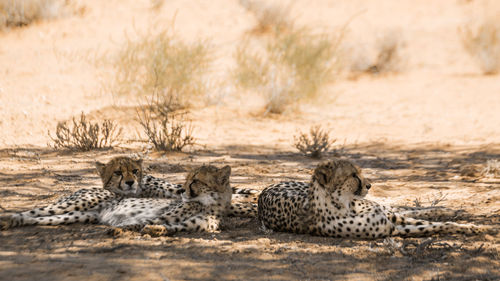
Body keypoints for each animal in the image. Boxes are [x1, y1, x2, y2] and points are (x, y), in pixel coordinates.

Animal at [0, 155, 256, 228]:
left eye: (196, 180)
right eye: (187, 179)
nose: (184, 188)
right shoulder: (165, 212)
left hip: (77, 215)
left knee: (42, 218)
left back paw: (16, 222)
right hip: (77, 203)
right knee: (34, 211)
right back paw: (9, 219)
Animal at [258, 159, 496, 237]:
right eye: (353, 175)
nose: (369, 185)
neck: (343, 205)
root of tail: (265, 190)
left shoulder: (389, 221)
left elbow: (435, 222)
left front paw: (472, 225)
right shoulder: (392, 229)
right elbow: (434, 226)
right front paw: (474, 228)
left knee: (399, 209)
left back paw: (446, 209)